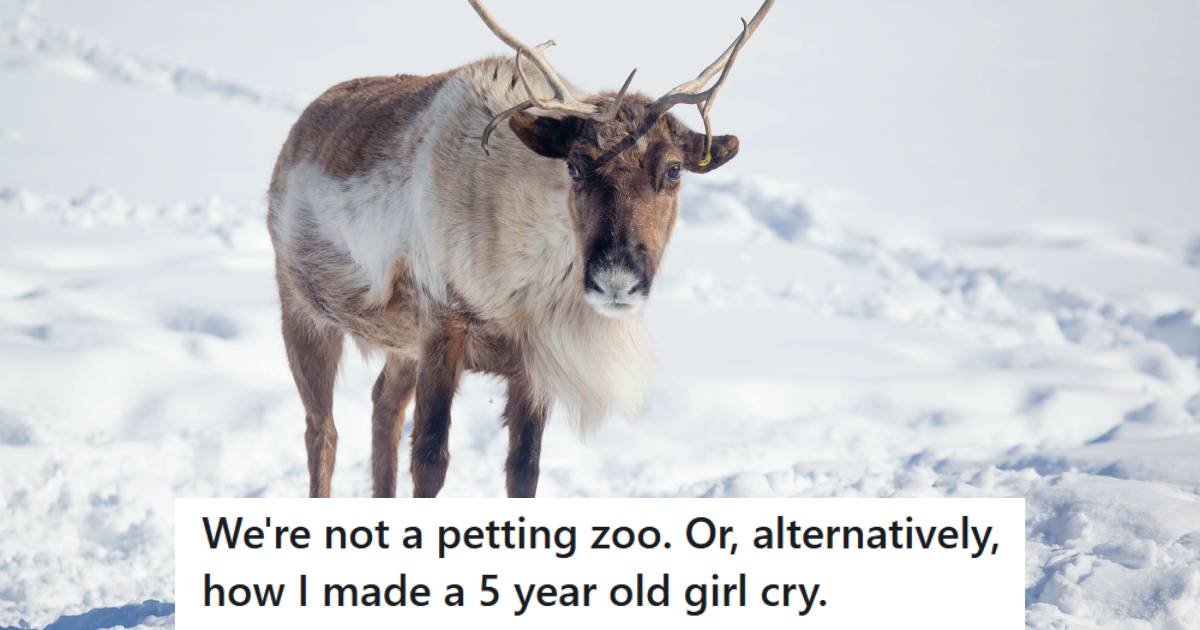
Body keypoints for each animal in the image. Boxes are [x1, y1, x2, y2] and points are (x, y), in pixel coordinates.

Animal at [267, 0, 774, 498]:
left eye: (673, 170)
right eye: (575, 166)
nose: (617, 280)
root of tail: (297, 132)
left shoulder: (534, 362)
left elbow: (524, 469)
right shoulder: (440, 323)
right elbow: (430, 460)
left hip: (397, 342)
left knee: (382, 405)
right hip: (304, 312)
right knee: (322, 431)